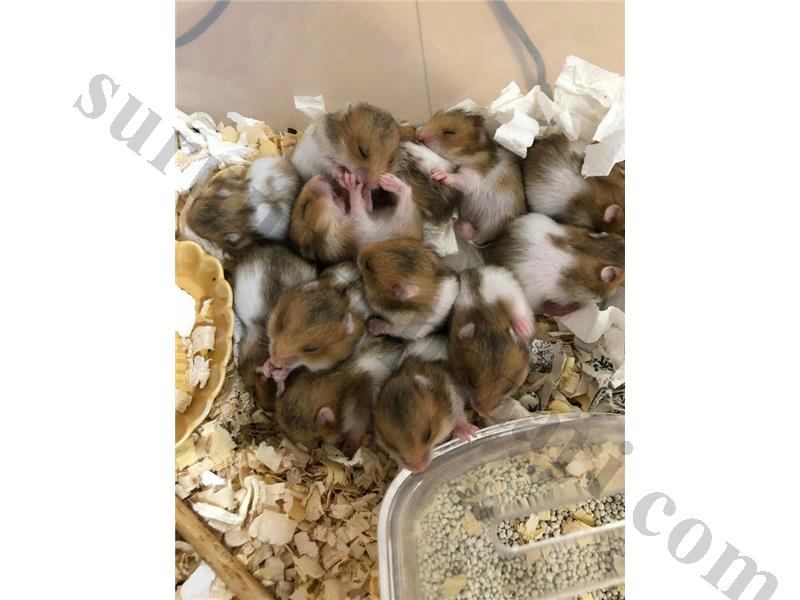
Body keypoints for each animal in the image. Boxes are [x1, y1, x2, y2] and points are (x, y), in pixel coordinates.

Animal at [416, 109, 526, 244]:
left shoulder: (473, 174)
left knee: (478, 237)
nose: (419, 136)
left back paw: (461, 224)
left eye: (450, 132)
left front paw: (437, 174)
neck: (471, 154)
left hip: (493, 223)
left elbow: (459, 178)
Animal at [448, 267, 533, 416]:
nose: (484, 413)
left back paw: (525, 329)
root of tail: (475, 268)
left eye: (509, 387)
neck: (489, 319)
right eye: (470, 380)